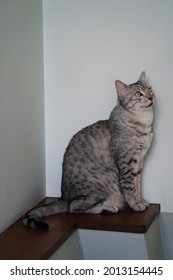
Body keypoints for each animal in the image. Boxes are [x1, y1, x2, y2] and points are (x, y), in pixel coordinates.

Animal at [22, 72, 154, 230]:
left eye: (150, 89)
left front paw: (140, 200)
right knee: (74, 207)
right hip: (107, 176)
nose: (151, 97)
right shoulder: (127, 163)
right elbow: (130, 187)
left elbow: (138, 185)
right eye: (138, 94)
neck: (144, 123)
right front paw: (135, 204)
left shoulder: (139, 162)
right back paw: (108, 208)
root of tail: (63, 197)